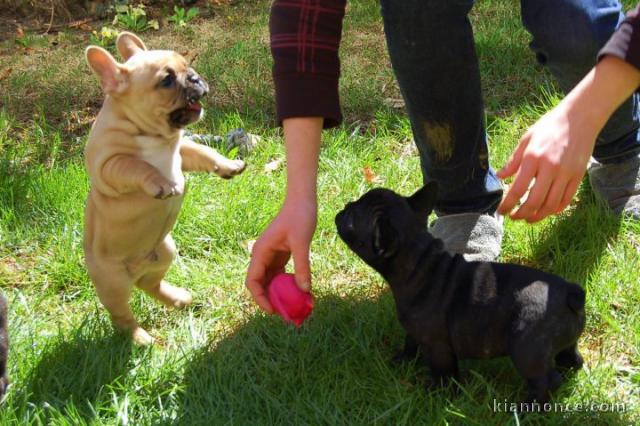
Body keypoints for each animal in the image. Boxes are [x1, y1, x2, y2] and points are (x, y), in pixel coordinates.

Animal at [85, 33, 245, 346]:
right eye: (167, 80)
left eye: (186, 65)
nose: (194, 77)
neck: (153, 135)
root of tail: (135, 272)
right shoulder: (107, 166)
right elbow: (135, 166)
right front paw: (161, 183)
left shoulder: (182, 150)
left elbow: (203, 151)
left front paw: (228, 165)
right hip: (112, 282)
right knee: (120, 314)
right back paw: (139, 338)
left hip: (165, 250)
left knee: (151, 284)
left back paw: (178, 298)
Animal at [338, 183, 588, 402]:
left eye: (350, 220)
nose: (344, 207)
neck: (419, 260)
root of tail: (569, 293)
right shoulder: (416, 332)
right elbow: (410, 343)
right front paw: (403, 359)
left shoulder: (438, 346)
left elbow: (443, 372)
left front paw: (437, 395)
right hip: (562, 342)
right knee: (571, 357)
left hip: (527, 350)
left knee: (545, 381)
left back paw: (527, 407)